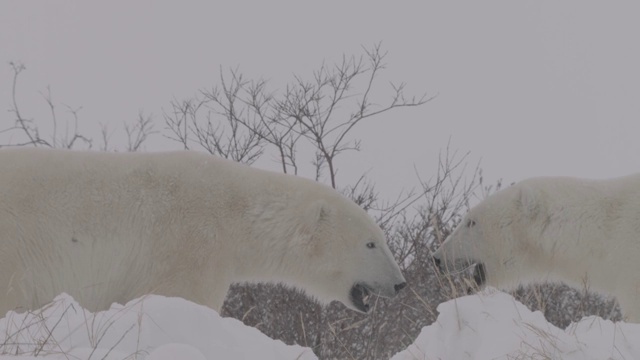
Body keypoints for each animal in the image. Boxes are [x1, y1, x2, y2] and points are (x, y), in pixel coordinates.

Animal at [0, 148, 404, 314]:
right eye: (370, 243)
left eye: (382, 239)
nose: (401, 284)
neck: (237, 213)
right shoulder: (190, 244)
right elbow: (179, 296)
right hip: (17, 244)